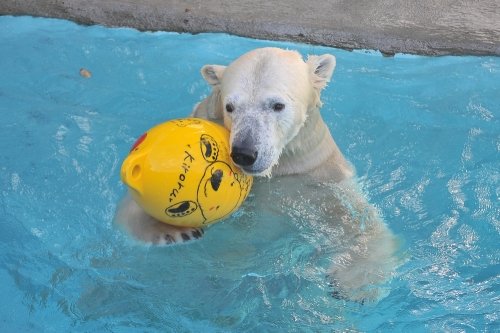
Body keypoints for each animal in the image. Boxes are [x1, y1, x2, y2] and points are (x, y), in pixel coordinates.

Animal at [116, 47, 398, 304]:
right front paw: (170, 232)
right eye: (230, 106)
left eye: (277, 105)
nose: (244, 153)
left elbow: (355, 214)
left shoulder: (316, 169)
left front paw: (353, 284)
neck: (277, 168)